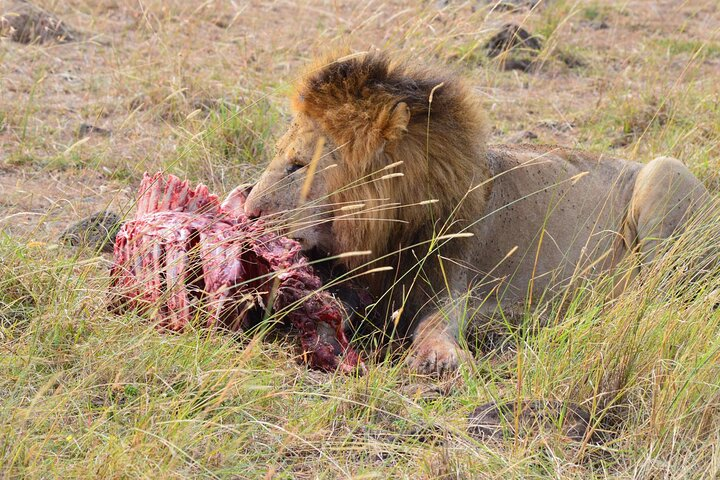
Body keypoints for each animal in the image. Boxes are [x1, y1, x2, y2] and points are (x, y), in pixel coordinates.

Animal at [244, 52, 710, 375]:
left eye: (297, 165)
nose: (247, 213)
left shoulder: (455, 286)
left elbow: (436, 327)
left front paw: (439, 360)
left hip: (664, 171)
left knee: (660, 300)